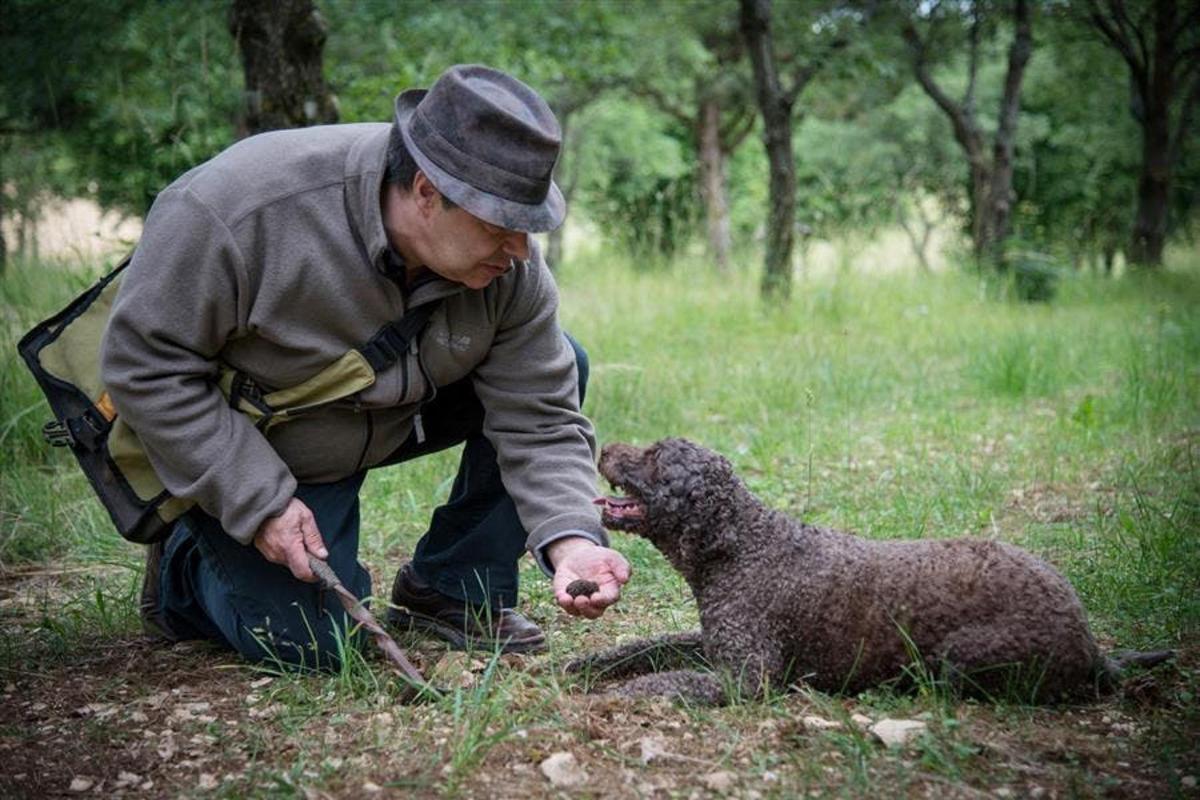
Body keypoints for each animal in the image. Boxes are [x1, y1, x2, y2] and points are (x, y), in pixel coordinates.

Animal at [571, 438, 1171, 705]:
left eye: (654, 455)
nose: (605, 447)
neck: (744, 545)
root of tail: (1090, 643)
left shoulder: (747, 676)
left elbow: (666, 679)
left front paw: (614, 695)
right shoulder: (711, 643)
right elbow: (650, 648)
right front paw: (590, 665)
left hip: (961, 658)